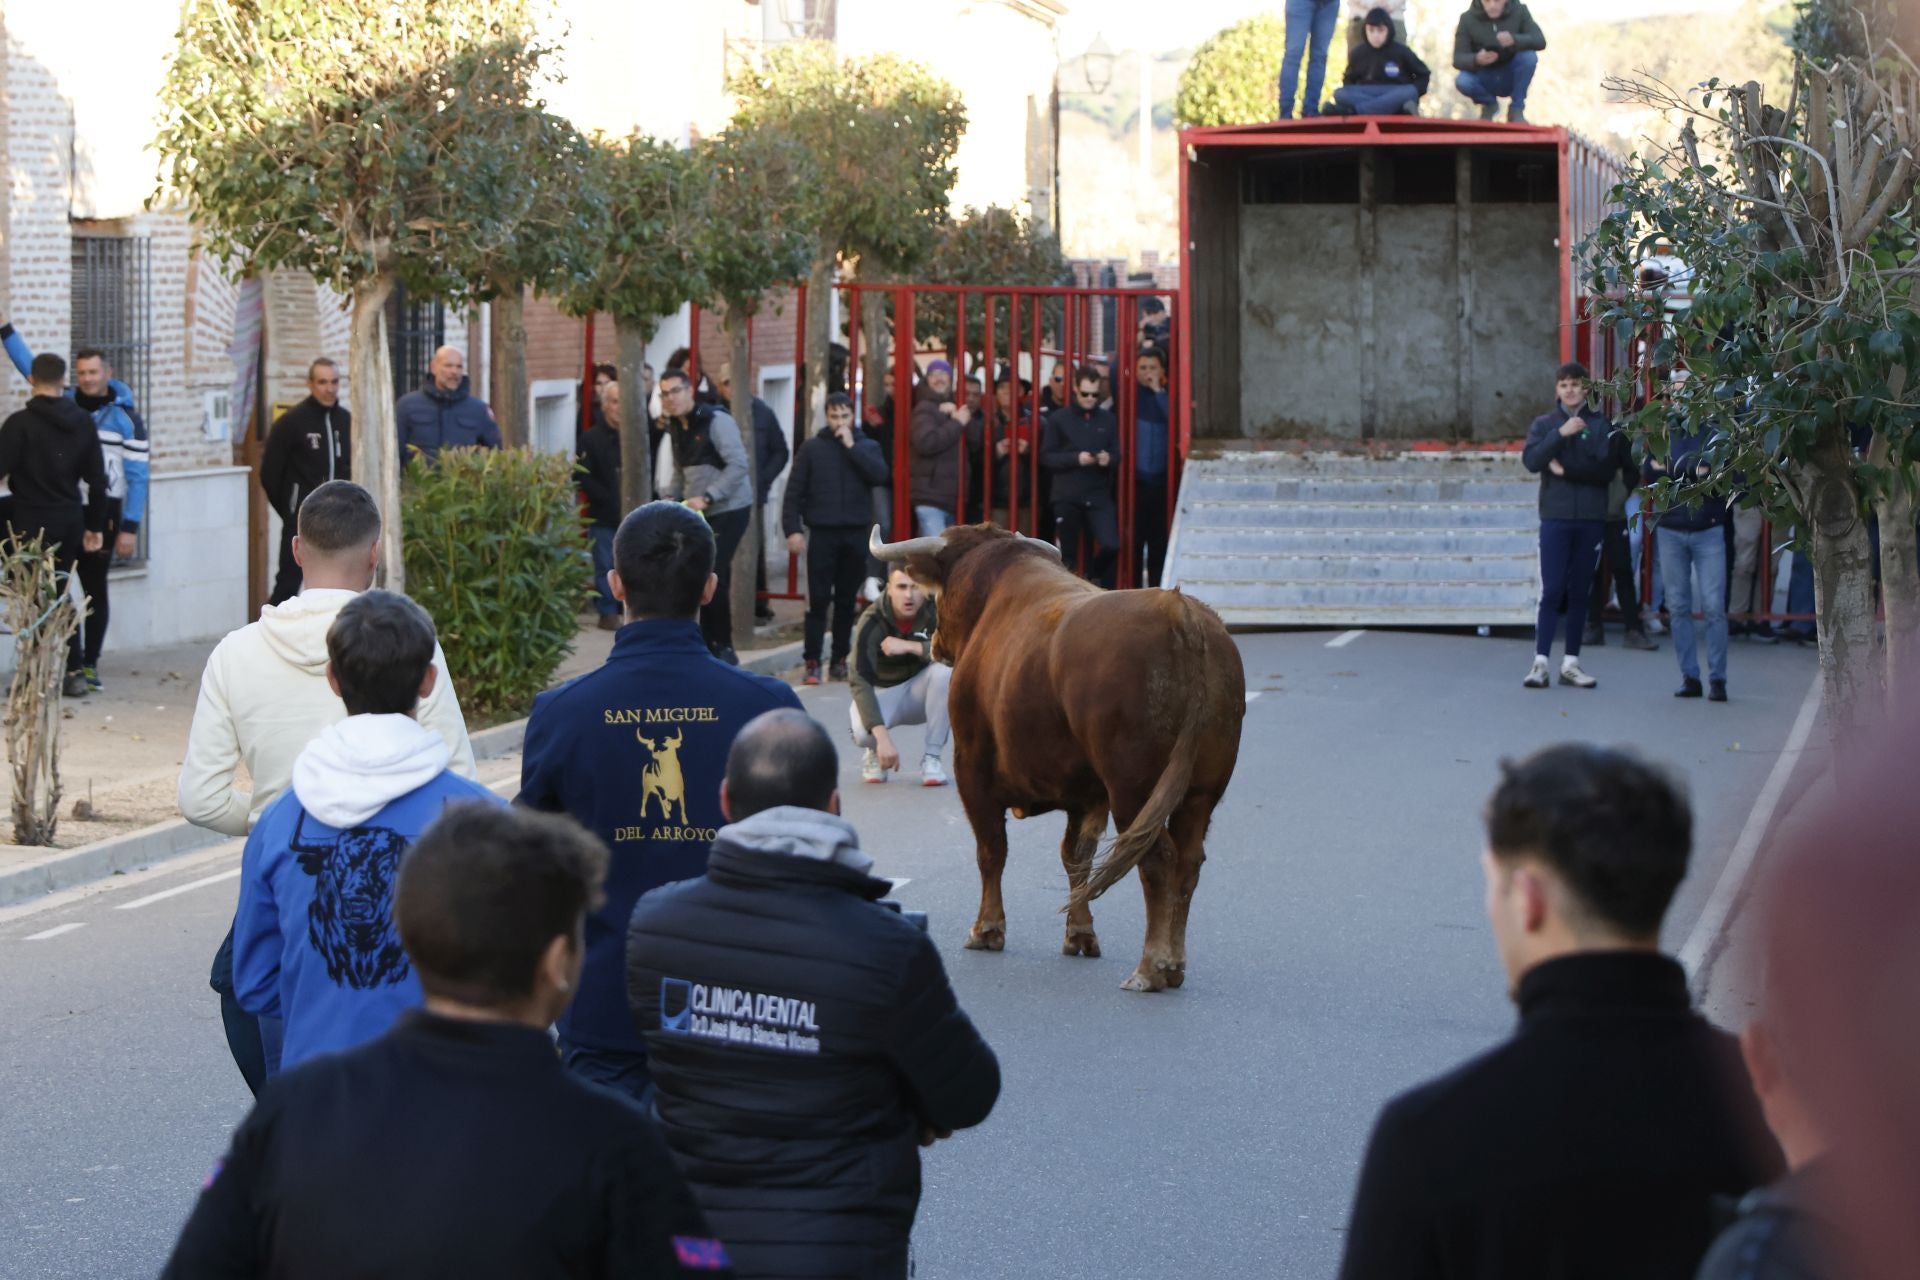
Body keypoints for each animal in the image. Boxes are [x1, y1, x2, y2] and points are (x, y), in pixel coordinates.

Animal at [871, 525, 1244, 997]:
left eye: (937, 593)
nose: (933, 643)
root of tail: (1181, 614)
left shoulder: (972, 768)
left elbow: (991, 850)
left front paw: (987, 929)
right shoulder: (1087, 792)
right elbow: (1076, 856)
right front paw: (1080, 934)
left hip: (1134, 788)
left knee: (1157, 858)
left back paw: (1150, 967)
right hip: (1200, 792)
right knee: (1189, 862)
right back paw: (1175, 965)